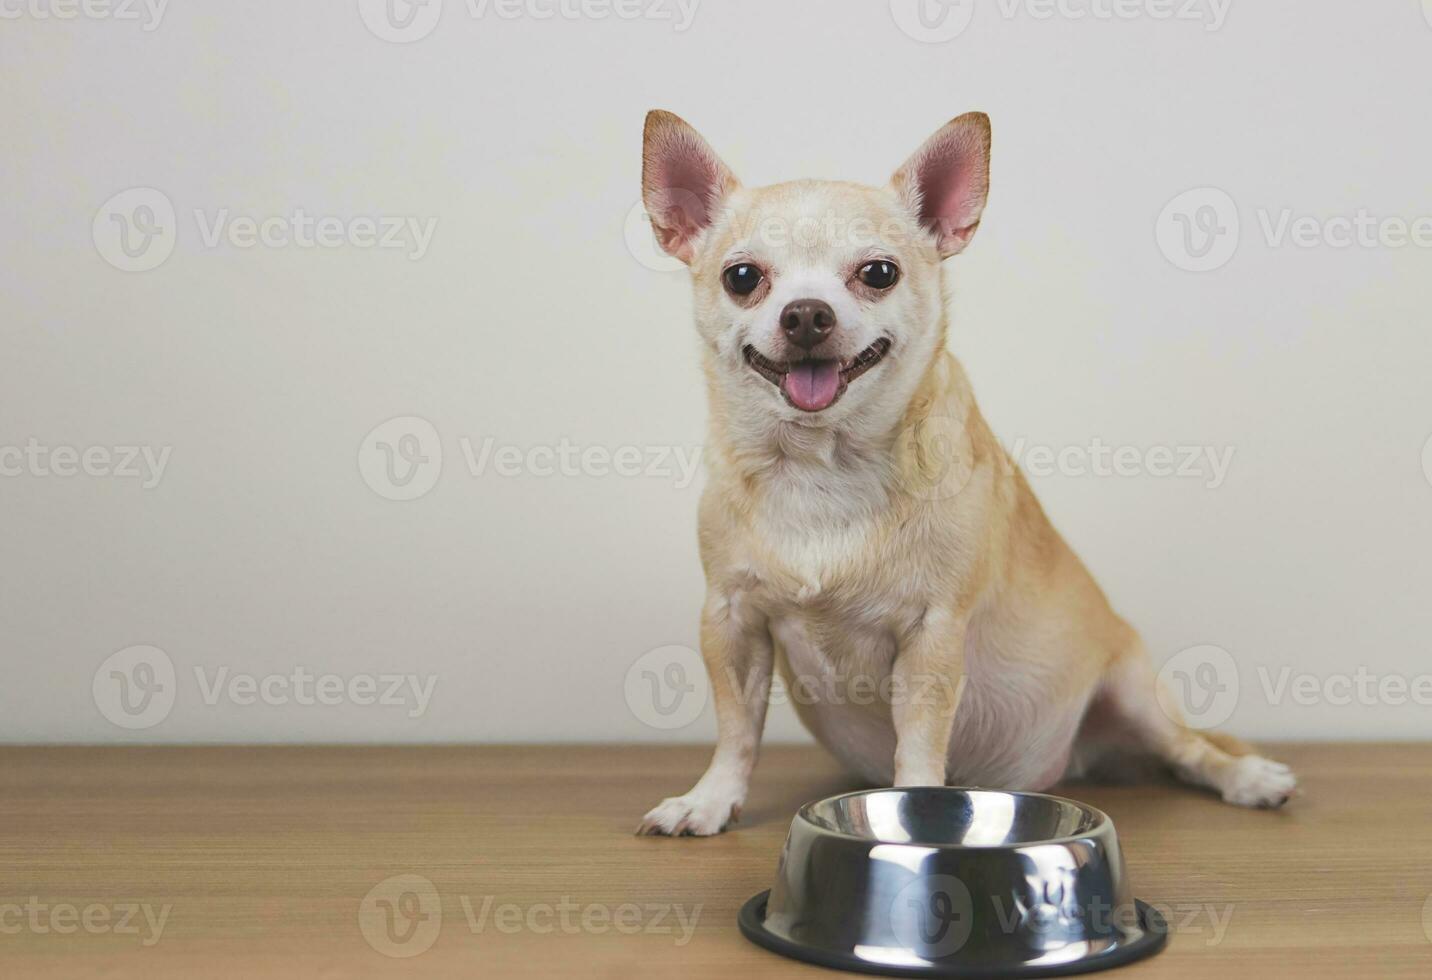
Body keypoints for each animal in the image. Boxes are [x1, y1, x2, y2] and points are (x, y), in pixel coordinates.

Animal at [638, 113, 1300, 836]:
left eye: (878, 273)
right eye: (742, 277)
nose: (808, 312)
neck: (823, 464)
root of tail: (1081, 761)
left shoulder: (932, 636)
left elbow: (919, 740)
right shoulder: (731, 622)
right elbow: (737, 730)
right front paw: (710, 799)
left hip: (1133, 691)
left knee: (1191, 752)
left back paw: (1250, 778)